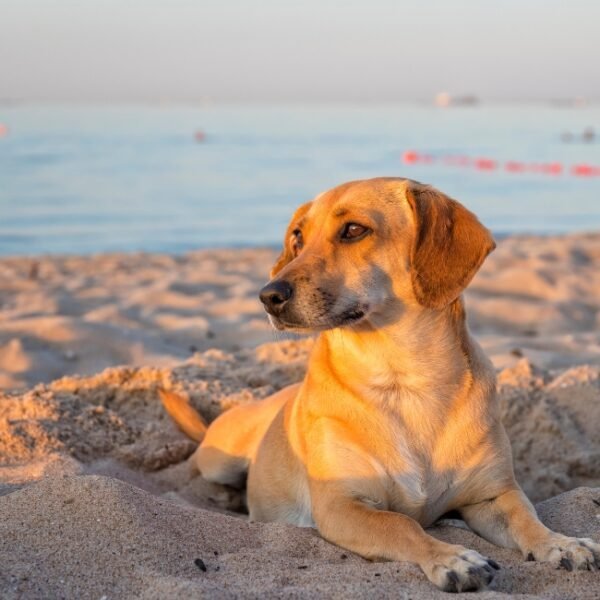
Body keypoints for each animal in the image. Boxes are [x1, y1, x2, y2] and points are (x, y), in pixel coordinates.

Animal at [161, 177, 600, 592]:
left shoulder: (494, 495)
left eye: (354, 230)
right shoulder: (342, 506)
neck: (403, 380)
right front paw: (453, 558)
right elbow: (402, 525)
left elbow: (527, 518)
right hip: (220, 460)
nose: (268, 295)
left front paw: (562, 543)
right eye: (297, 236)